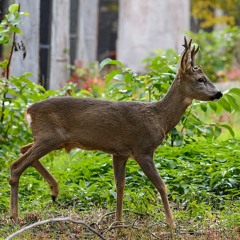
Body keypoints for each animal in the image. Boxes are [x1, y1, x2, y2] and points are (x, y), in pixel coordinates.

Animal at [9, 37, 223, 227]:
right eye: (200, 79)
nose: (219, 93)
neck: (159, 118)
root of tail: (28, 110)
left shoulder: (120, 153)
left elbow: (120, 186)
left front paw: (118, 222)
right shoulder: (142, 149)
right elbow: (161, 184)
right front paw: (171, 224)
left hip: (53, 140)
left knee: (22, 149)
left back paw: (53, 190)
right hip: (50, 137)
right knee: (16, 166)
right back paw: (15, 217)